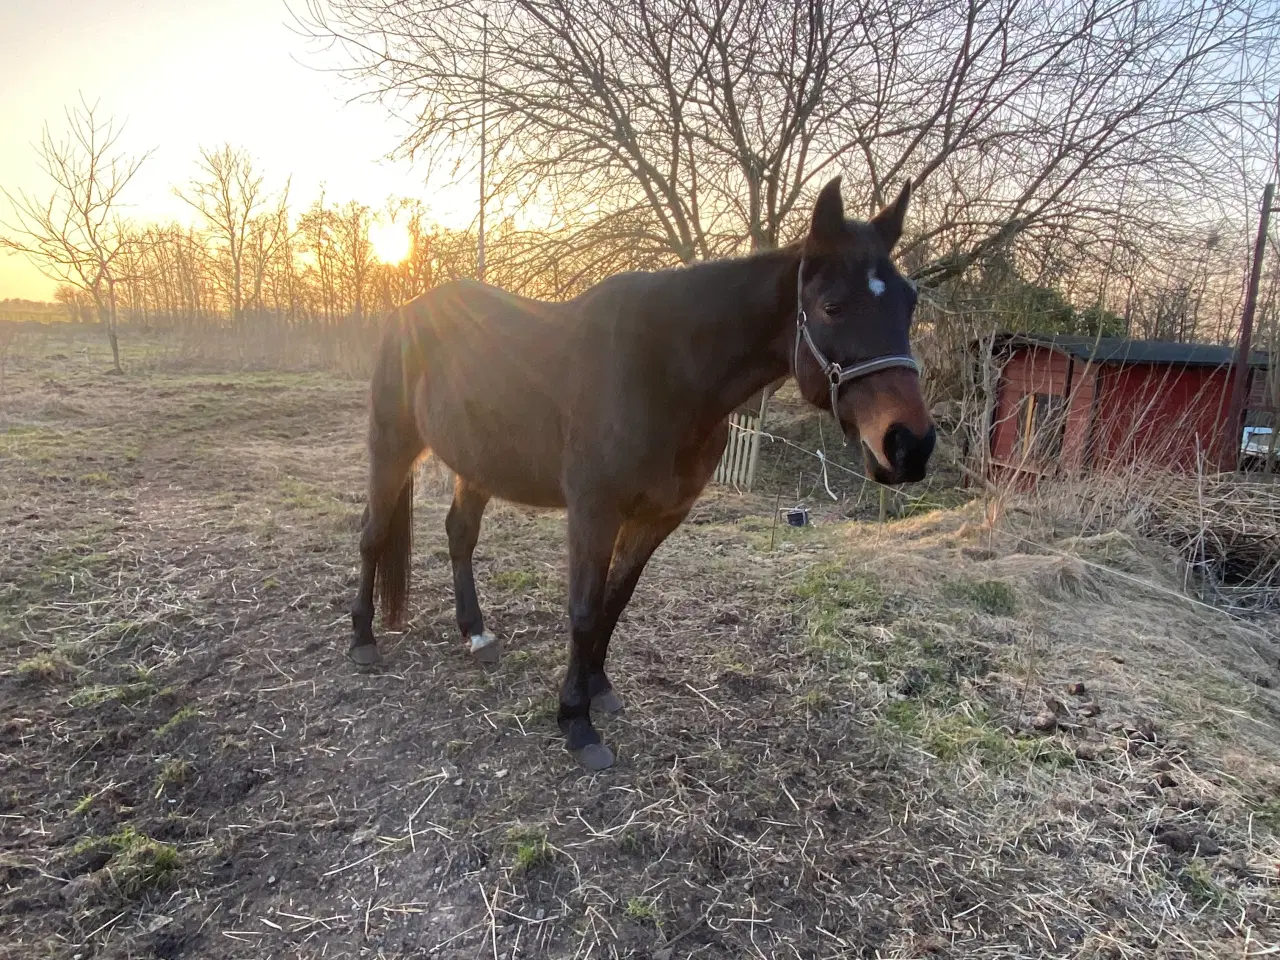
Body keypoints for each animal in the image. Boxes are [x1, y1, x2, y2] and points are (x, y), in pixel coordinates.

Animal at [348, 176, 931, 773]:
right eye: (832, 307)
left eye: (909, 302)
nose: (910, 445)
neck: (666, 375)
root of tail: (406, 312)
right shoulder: (594, 512)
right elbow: (584, 609)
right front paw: (575, 721)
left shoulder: (658, 517)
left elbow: (615, 601)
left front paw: (598, 688)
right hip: (392, 445)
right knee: (373, 534)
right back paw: (363, 639)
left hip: (477, 463)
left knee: (460, 534)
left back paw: (477, 634)